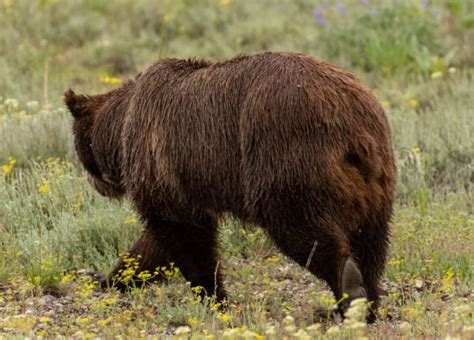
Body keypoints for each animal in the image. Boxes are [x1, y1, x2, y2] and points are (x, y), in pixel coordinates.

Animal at [63, 51, 396, 322]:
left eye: (80, 151)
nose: (95, 185)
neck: (121, 128)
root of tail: (351, 126)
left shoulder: (162, 160)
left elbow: (183, 235)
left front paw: (213, 296)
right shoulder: (187, 186)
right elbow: (155, 245)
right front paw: (110, 276)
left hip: (287, 154)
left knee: (303, 229)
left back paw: (348, 292)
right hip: (375, 180)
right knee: (371, 242)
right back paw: (367, 301)